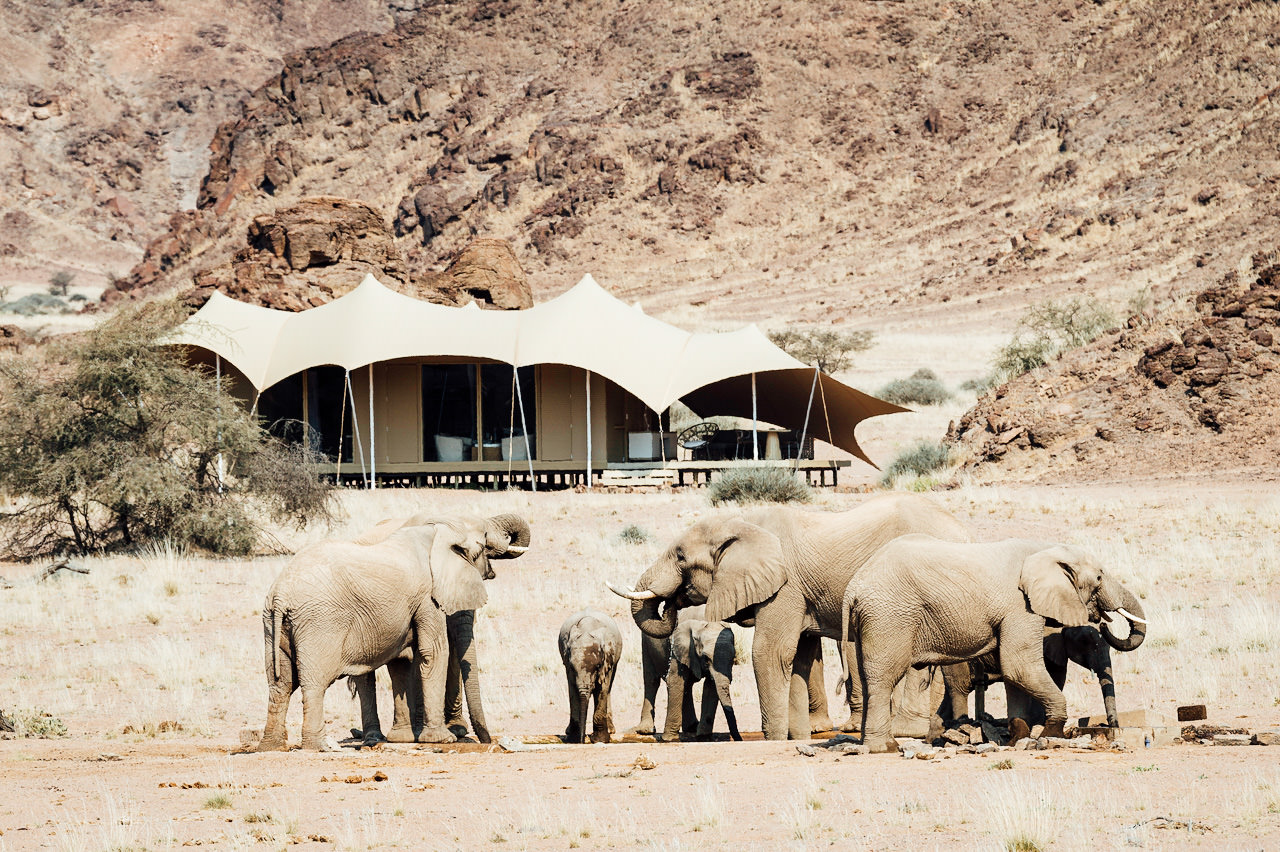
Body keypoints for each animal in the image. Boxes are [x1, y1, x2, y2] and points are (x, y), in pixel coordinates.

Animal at [257, 512, 530, 751]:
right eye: (482, 543)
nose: (488, 741)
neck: (439, 528)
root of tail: (281, 594)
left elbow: (402, 660)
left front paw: (405, 738)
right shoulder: (427, 597)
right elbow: (435, 652)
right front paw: (442, 739)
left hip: (273, 624)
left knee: (280, 685)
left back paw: (271, 747)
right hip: (320, 622)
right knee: (314, 683)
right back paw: (320, 746)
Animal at [558, 609, 623, 744]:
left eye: (598, 666)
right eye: (572, 667)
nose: (582, 741)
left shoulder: (608, 659)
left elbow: (603, 689)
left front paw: (600, 740)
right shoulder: (567, 664)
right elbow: (572, 690)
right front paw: (573, 739)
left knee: (609, 688)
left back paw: (611, 730)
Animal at [609, 493, 970, 740]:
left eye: (681, 557)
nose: (672, 601)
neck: (742, 524)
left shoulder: (786, 587)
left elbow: (770, 653)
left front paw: (774, 738)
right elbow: (799, 657)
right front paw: (797, 737)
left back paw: (912, 729)